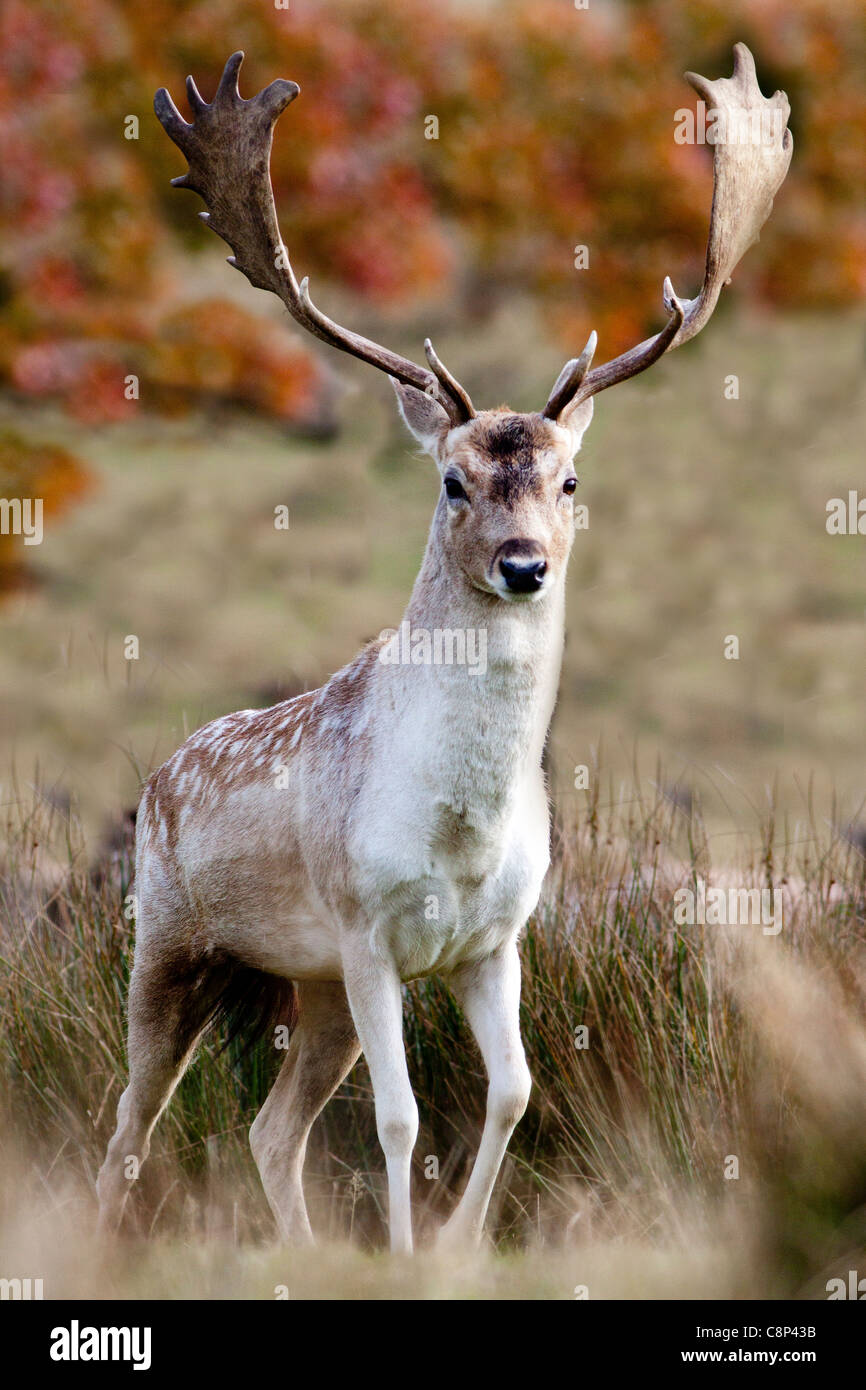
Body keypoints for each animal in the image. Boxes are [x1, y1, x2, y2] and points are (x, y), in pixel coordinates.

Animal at [96, 46, 795, 1262]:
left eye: (568, 478)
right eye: (453, 481)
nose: (524, 564)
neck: (459, 834)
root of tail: (162, 771)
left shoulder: (494, 939)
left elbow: (512, 1091)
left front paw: (460, 1249)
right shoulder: (367, 924)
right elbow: (402, 1113)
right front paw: (407, 1256)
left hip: (312, 985)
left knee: (268, 1128)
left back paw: (303, 1255)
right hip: (172, 940)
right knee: (131, 1118)